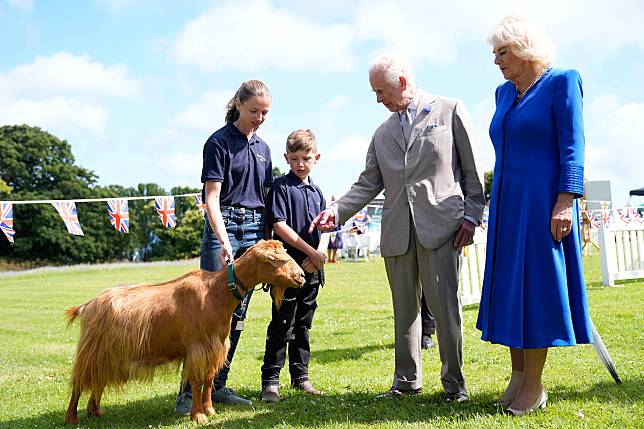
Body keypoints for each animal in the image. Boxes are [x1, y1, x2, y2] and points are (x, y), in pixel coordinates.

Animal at [64, 239, 306, 422]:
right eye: (278, 260)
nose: (302, 276)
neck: (216, 293)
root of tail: (87, 305)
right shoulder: (197, 349)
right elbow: (196, 382)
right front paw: (198, 416)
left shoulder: (215, 348)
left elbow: (208, 379)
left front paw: (209, 410)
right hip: (91, 351)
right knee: (79, 382)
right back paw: (71, 418)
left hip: (107, 354)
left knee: (98, 380)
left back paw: (95, 411)